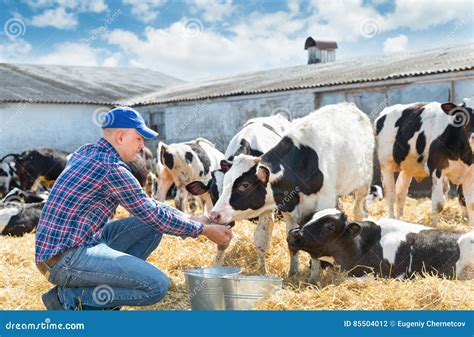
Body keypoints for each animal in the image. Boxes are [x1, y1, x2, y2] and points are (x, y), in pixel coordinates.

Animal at [184, 113, 288, 270]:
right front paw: (216, 267)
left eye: (241, 186)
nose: (215, 216)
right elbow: (223, 242)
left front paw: (262, 270)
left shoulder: (267, 210)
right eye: (212, 193)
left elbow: (261, 239)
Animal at [210, 101, 374, 280]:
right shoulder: (288, 209)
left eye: (244, 185)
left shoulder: (324, 203)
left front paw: (314, 277)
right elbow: (290, 242)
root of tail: (348, 105)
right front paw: (293, 272)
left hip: (363, 182)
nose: (214, 214)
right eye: (225, 182)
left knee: (360, 211)